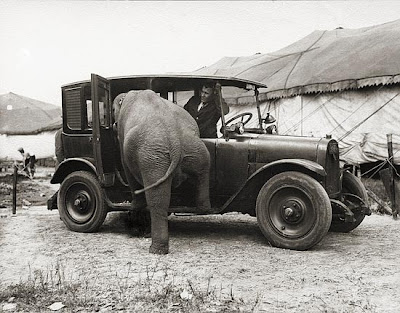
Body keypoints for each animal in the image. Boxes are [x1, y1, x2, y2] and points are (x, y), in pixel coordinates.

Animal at [112, 89, 211, 254]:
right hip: (194, 147)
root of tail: (175, 139)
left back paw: (156, 250)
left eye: (113, 110)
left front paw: (134, 206)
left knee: (157, 200)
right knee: (202, 172)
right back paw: (203, 208)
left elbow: (126, 165)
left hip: (152, 157)